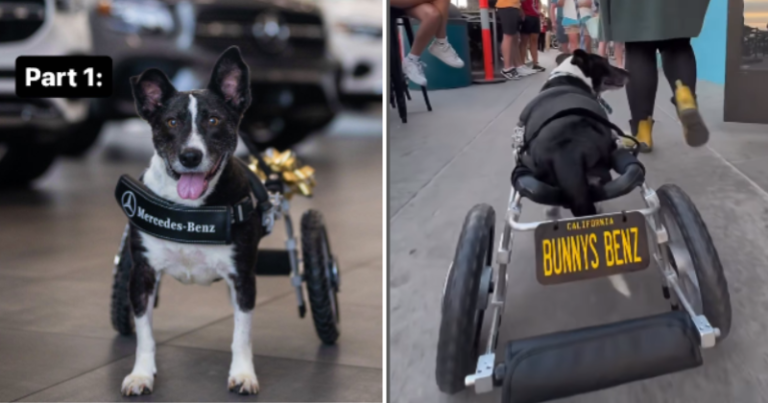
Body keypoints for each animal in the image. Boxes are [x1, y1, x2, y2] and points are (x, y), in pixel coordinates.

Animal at [121, 46, 262, 394]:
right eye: (171, 122)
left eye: (213, 120)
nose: (190, 156)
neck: (191, 211)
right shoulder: (141, 274)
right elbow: (145, 334)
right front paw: (141, 375)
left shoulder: (243, 277)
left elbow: (242, 333)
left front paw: (243, 374)